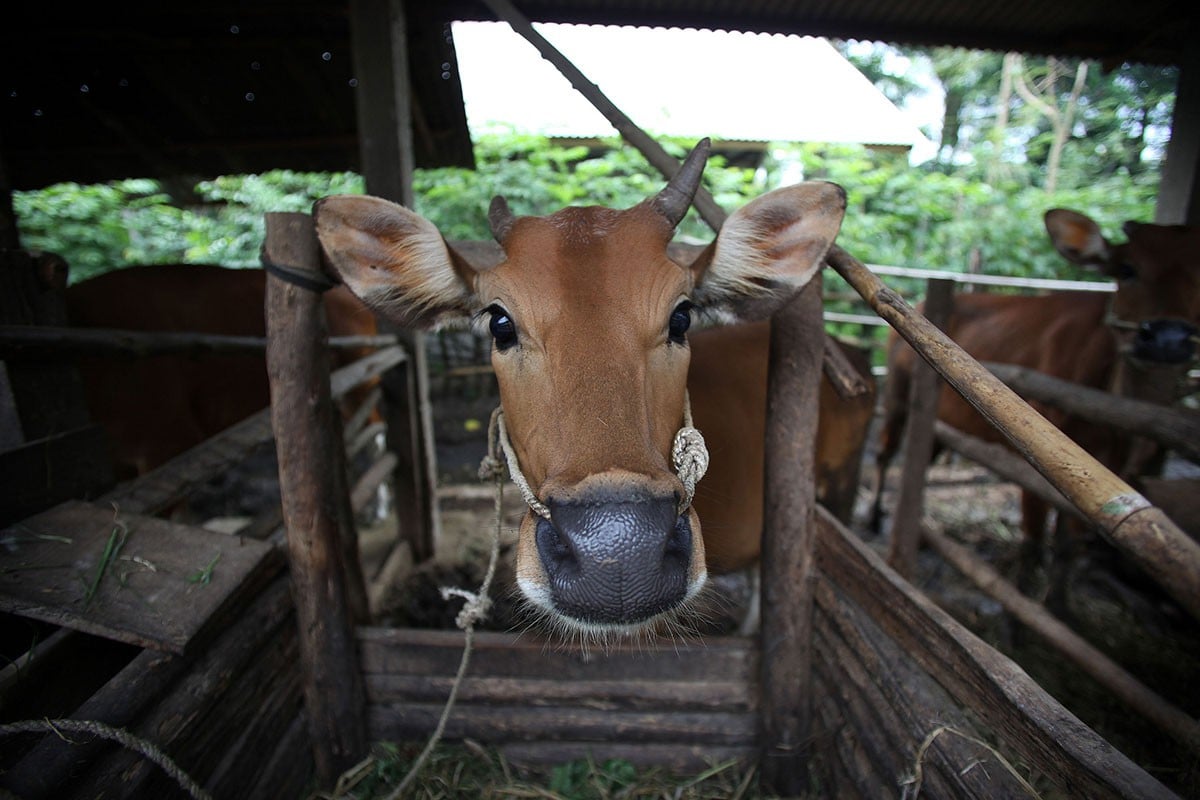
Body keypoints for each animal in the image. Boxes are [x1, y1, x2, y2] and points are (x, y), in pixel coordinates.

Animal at [871, 209, 1200, 571]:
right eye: (1127, 269)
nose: (1168, 339)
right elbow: (1032, 543)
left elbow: (1070, 546)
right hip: (897, 398)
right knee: (886, 453)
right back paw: (875, 516)